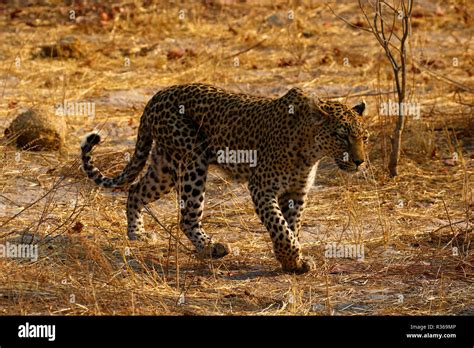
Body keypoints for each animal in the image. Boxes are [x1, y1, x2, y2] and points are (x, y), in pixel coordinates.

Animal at [80, 83, 370, 274]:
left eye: (364, 137)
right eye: (341, 135)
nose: (360, 161)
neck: (311, 151)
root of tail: (156, 96)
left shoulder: (296, 193)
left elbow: (292, 226)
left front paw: (291, 261)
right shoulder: (261, 187)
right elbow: (280, 226)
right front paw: (291, 258)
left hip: (165, 164)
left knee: (136, 190)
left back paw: (137, 234)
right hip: (193, 158)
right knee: (187, 216)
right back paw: (211, 248)